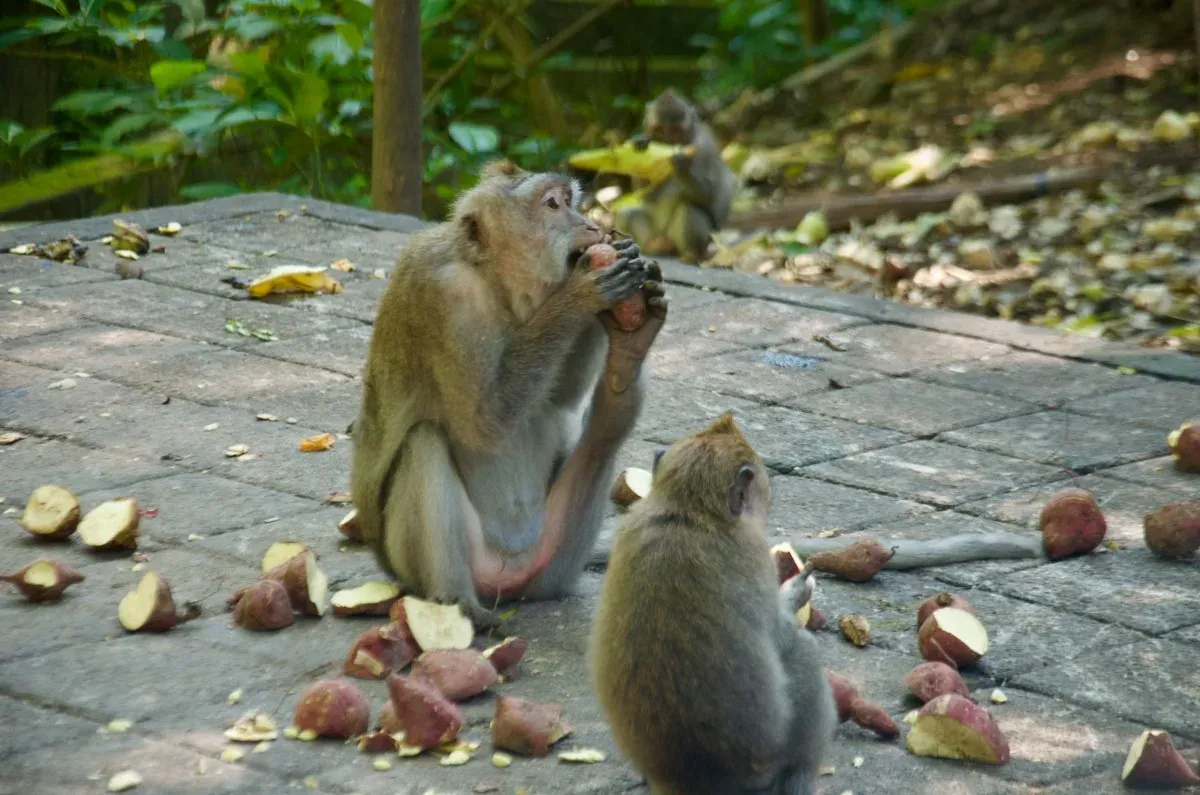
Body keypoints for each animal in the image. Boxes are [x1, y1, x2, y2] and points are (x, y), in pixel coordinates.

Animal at [349, 159, 669, 629]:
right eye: (553, 205)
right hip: (439, 567)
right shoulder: (444, 294)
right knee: (423, 441)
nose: (591, 226)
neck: (494, 280)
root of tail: (507, 583)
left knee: (603, 439)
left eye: (570, 201)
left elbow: (561, 400)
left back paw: (627, 359)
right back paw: (457, 602)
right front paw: (584, 292)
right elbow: (484, 423)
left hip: (553, 564)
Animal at [589, 412, 836, 795]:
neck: (687, 509)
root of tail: (689, 779)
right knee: (803, 650)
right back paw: (800, 775)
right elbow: (781, 635)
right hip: (768, 761)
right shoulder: (752, 554)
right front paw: (796, 591)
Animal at [615, 89, 736, 265]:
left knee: (689, 209)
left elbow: (708, 194)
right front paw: (641, 141)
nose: (669, 142)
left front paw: (682, 165)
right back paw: (648, 246)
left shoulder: (704, 147)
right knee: (626, 213)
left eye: (676, 131)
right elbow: (648, 195)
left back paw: (691, 255)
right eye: (659, 130)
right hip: (655, 231)